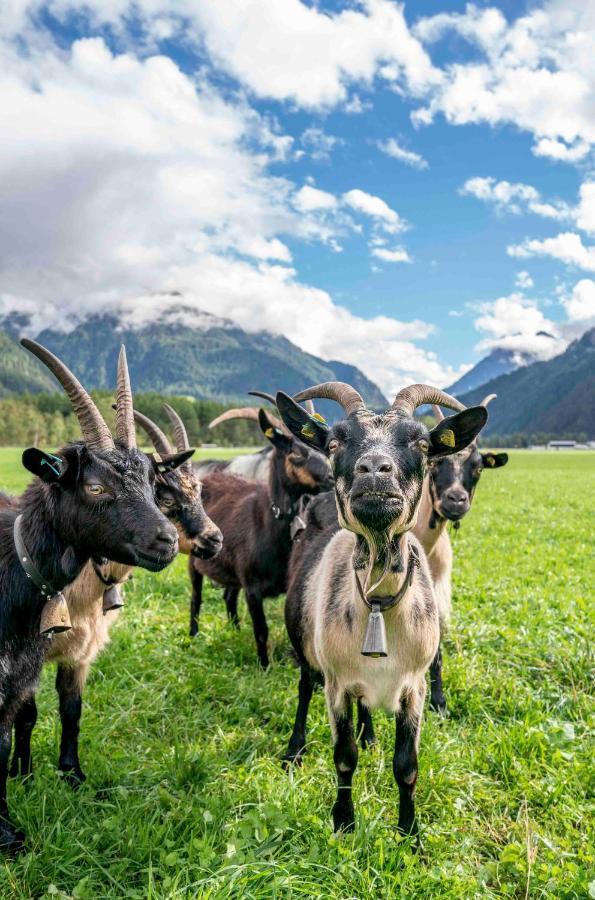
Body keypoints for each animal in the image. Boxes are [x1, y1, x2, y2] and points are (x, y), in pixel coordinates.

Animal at [0, 340, 179, 852]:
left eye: (152, 485)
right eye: (95, 487)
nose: (168, 541)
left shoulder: (28, 671)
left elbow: (52, 717)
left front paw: (69, 778)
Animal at [8, 408, 224, 788]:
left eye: (198, 489)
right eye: (167, 497)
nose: (214, 539)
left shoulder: (82, 652)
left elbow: (72, 710)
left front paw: (72, 774)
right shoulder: (32, 653)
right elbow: (28, 712)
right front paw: (23, 773)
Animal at [189, 412, 332, 664]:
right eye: (295, 453)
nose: (333, 477)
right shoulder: (252, 588)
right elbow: (261, 630)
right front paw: (264, 666)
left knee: (229, 596)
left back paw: (234, 631)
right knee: (196, 597)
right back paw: (193, 635)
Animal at [278, 382, 486, 836]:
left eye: (422, 444)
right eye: (335, 442)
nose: (374, 469)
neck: (378, 604)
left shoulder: (414, 688)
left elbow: (407, 765)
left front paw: (409, 832)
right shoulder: (336, 684)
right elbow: (344, 758)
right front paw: (343, 822)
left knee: (365, 705)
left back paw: (370, 734)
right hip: (304, 643)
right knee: (304, 687)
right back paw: (295, 748)